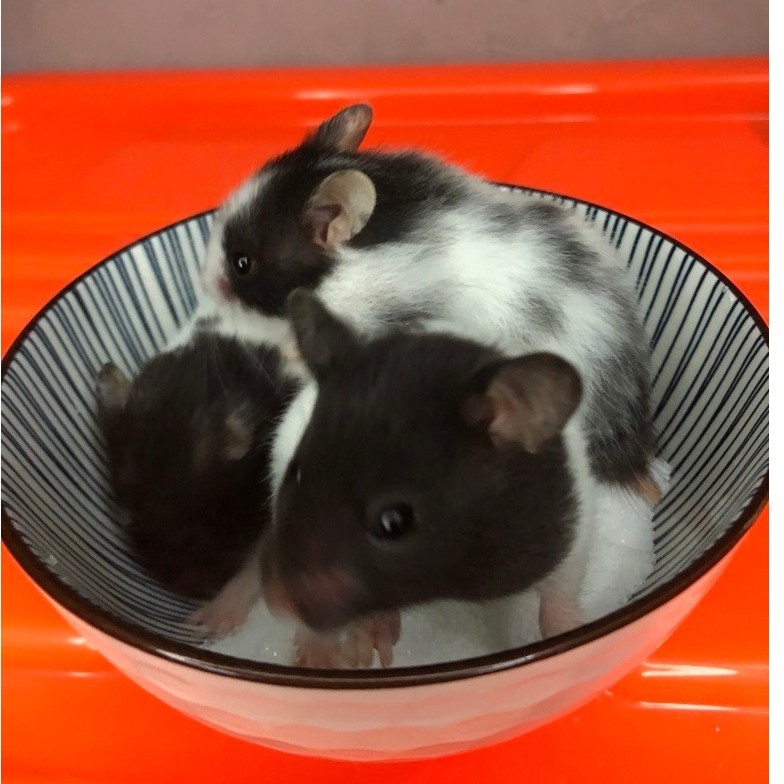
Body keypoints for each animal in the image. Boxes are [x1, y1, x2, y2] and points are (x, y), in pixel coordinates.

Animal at [260, 289, 600, 650]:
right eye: (296, 473)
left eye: (394, 522)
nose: (276, 604)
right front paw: (375, 643)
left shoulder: (575, 526)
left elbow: (562, 588)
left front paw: (571, 631)